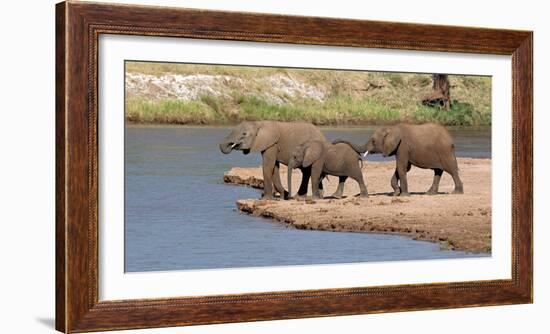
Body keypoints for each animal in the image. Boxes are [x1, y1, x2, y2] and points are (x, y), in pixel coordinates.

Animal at [334, 122, 464, 196]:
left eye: (373, 141)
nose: (334, 142)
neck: (391, 129)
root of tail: (450, 139)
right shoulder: (400, 148)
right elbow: (404, 167)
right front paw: (396, 192)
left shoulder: (403, 146)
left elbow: (402, 167)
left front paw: (403, 195)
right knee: (438, 171)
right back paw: (430, 193)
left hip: (444, 151)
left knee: (451, 170)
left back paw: (457, 192)